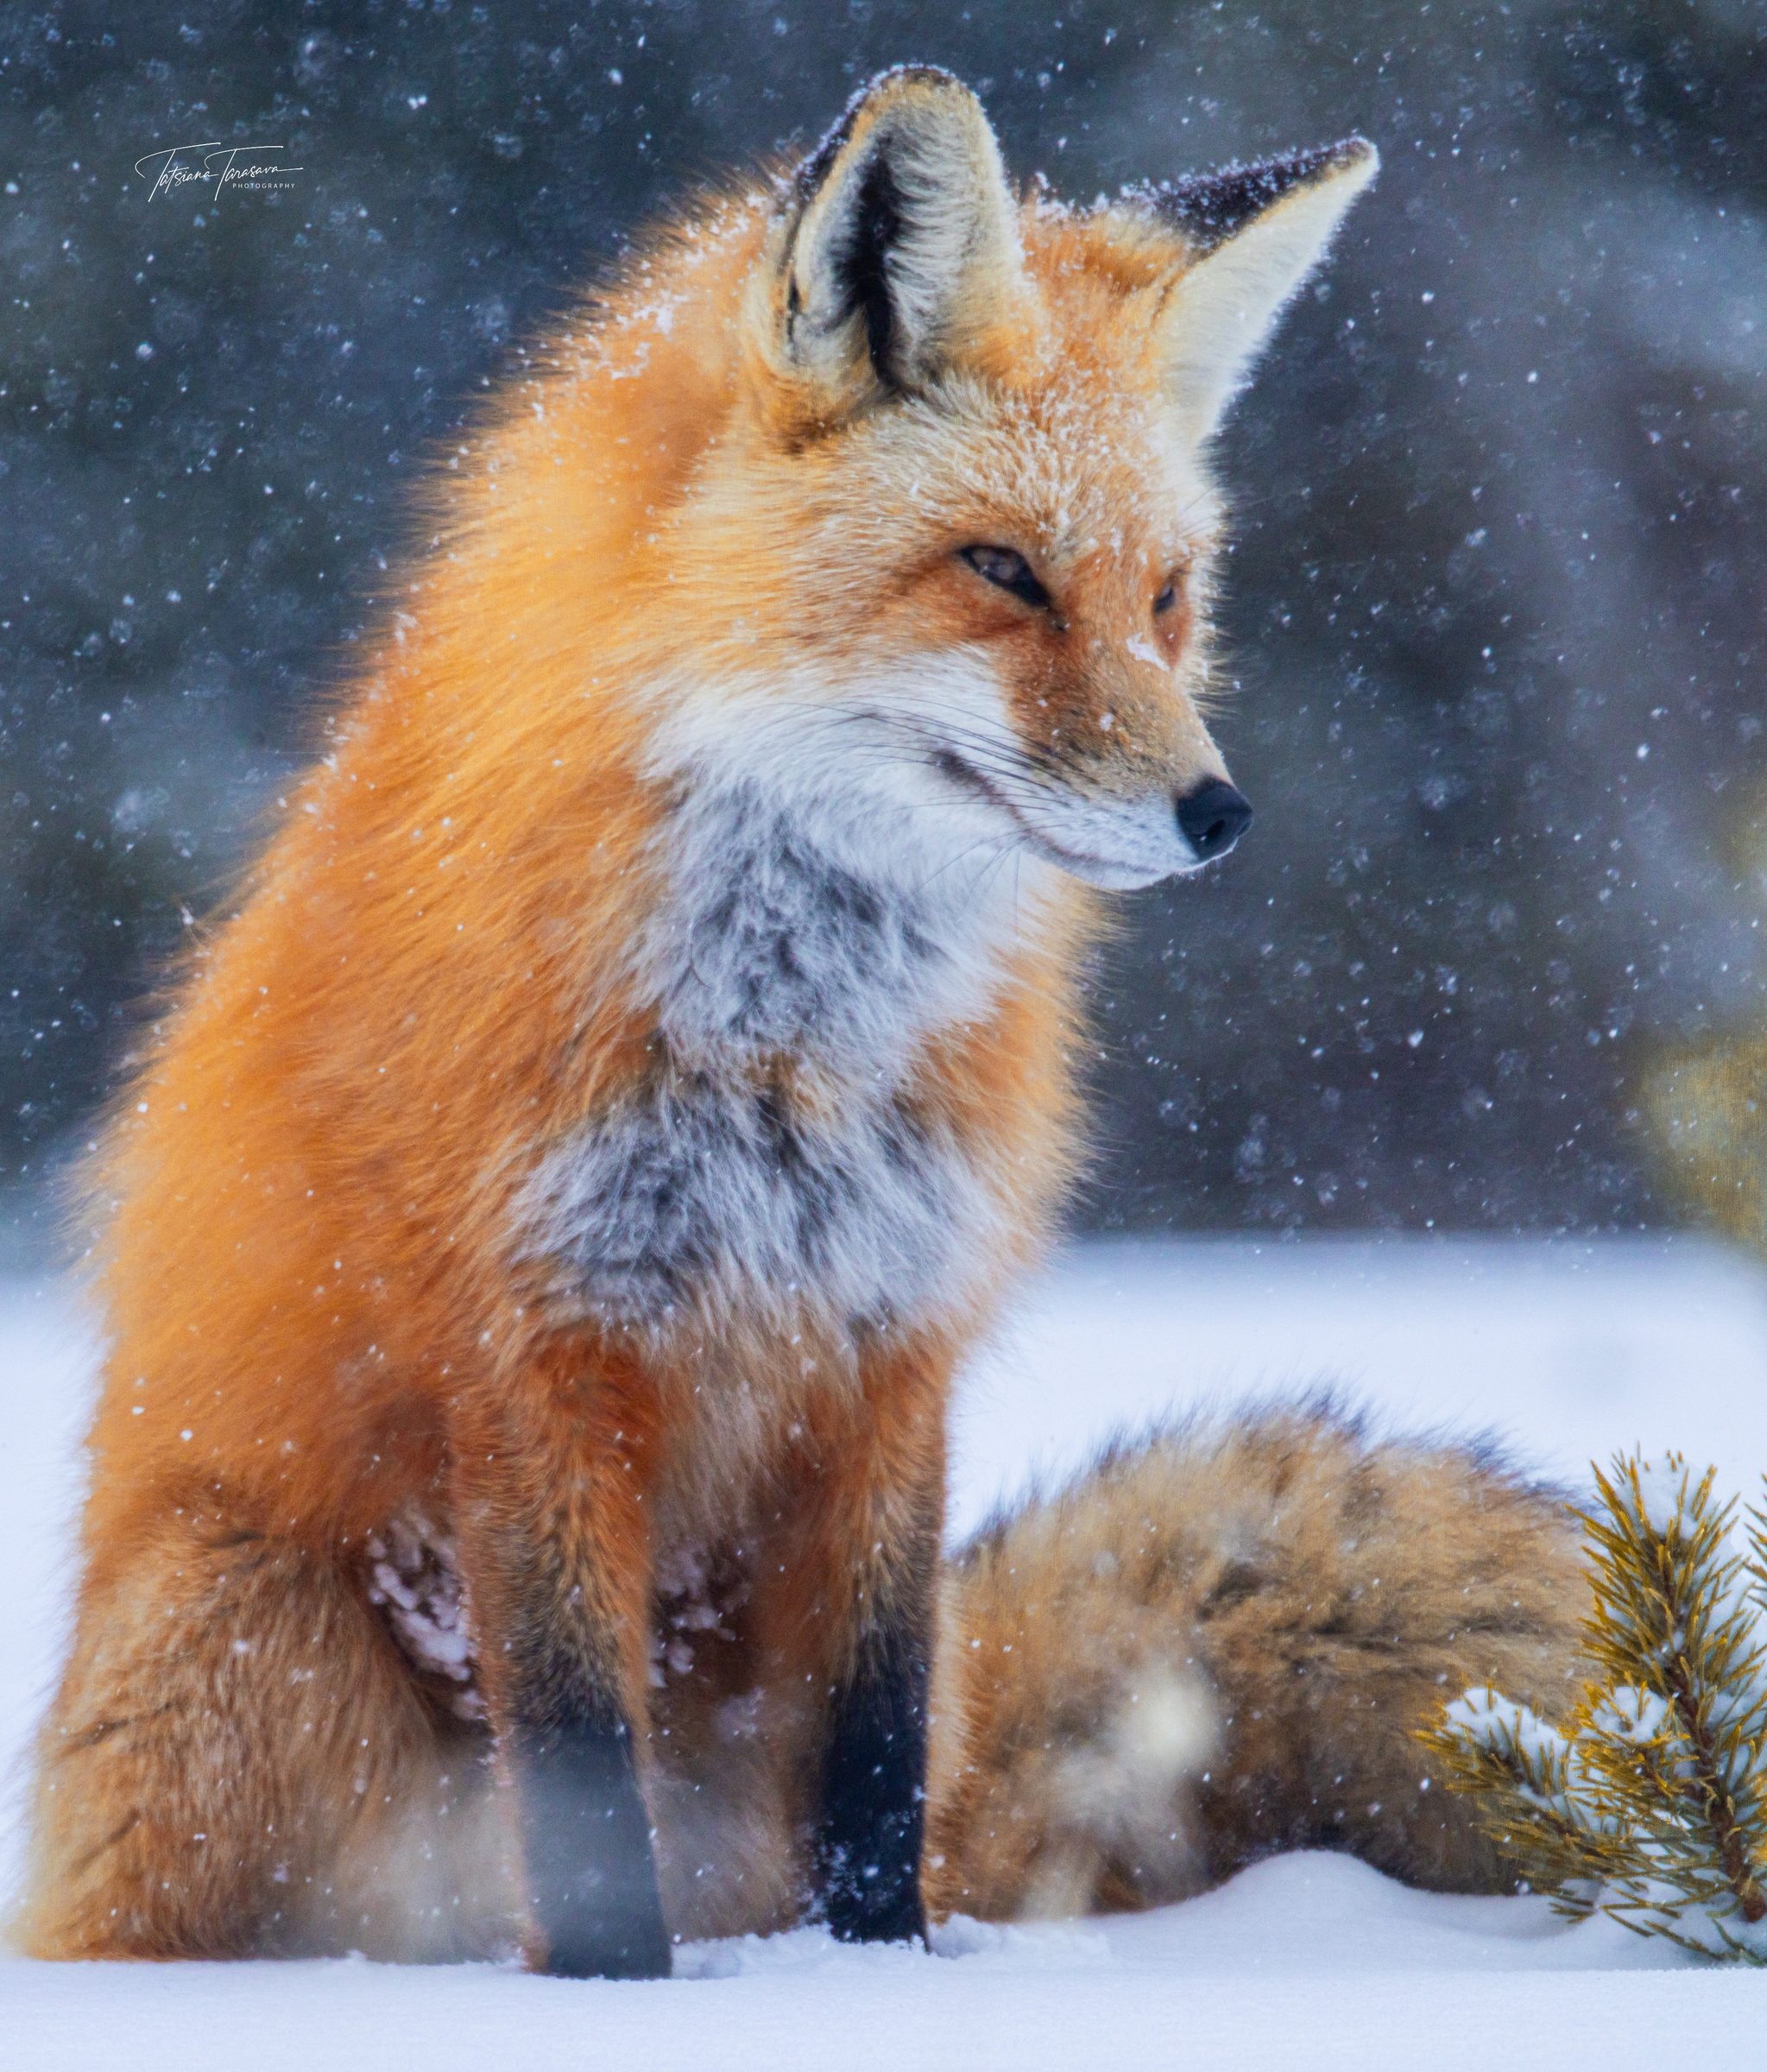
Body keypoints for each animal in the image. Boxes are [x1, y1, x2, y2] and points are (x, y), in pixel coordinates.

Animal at [13, 67, 1577, 1977]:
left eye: (1166, 596)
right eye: (1000, 571)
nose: (1218, 814)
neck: (792, 1053)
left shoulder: (890, 1349)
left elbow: (875, 1762)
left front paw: (866, 1986)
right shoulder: (536, 1350)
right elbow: (580, 1779)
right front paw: (618, 2004)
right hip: (241, 1632)